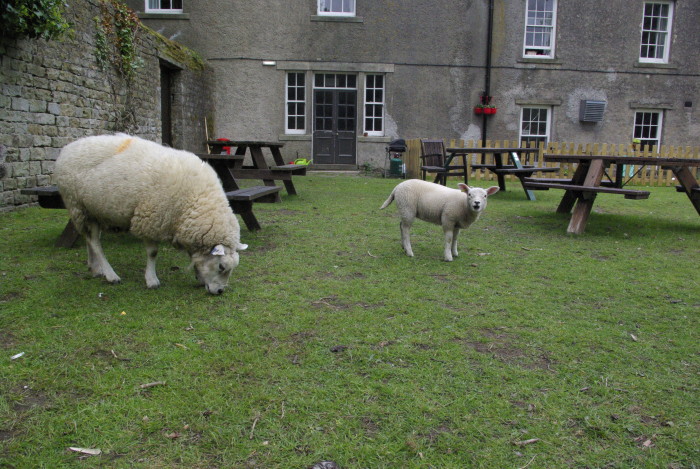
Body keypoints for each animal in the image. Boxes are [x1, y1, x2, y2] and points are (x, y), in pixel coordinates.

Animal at [53, 133, 247, 292]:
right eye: (221, 267)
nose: (220, 291)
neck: (194, 200)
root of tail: (67, 148)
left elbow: (194, 257)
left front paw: (199, 276)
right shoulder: (150, 219)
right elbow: (153, 253)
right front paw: (152, 280)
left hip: (92, 210)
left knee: (90, 239)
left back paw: (95, 268)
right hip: (76, 204)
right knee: (95, 243)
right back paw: (110, 275)